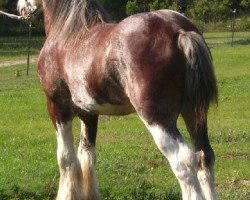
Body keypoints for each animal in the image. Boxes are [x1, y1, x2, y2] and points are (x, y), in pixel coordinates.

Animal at [17, 0, 217, 199]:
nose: (20, 8)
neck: (69, 33)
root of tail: (178, 30)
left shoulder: (57, 107)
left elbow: (66, 158)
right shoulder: (88, 113)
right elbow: (87, 154)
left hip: (158, 120)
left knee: (183, 162)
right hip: (194, 114)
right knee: (205, 156)